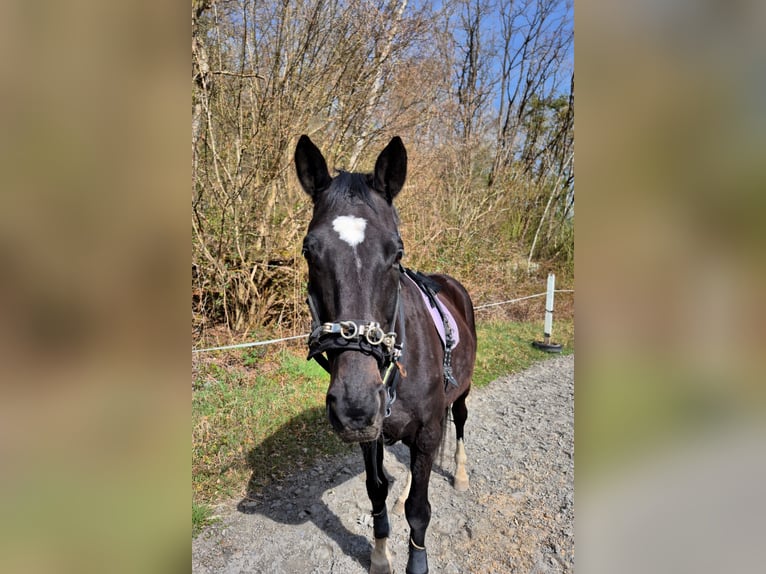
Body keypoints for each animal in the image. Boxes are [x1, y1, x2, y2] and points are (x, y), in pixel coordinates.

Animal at [294, 135, 477, 574]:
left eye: (397, 253)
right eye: (309, 252)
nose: (356, 405)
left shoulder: (427, 431)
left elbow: (419, 511)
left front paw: (417, 561)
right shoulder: (373, 436)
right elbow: (376, 492)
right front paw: (379, 554)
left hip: (461, 393)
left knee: (461, 422)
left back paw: (461, 475)